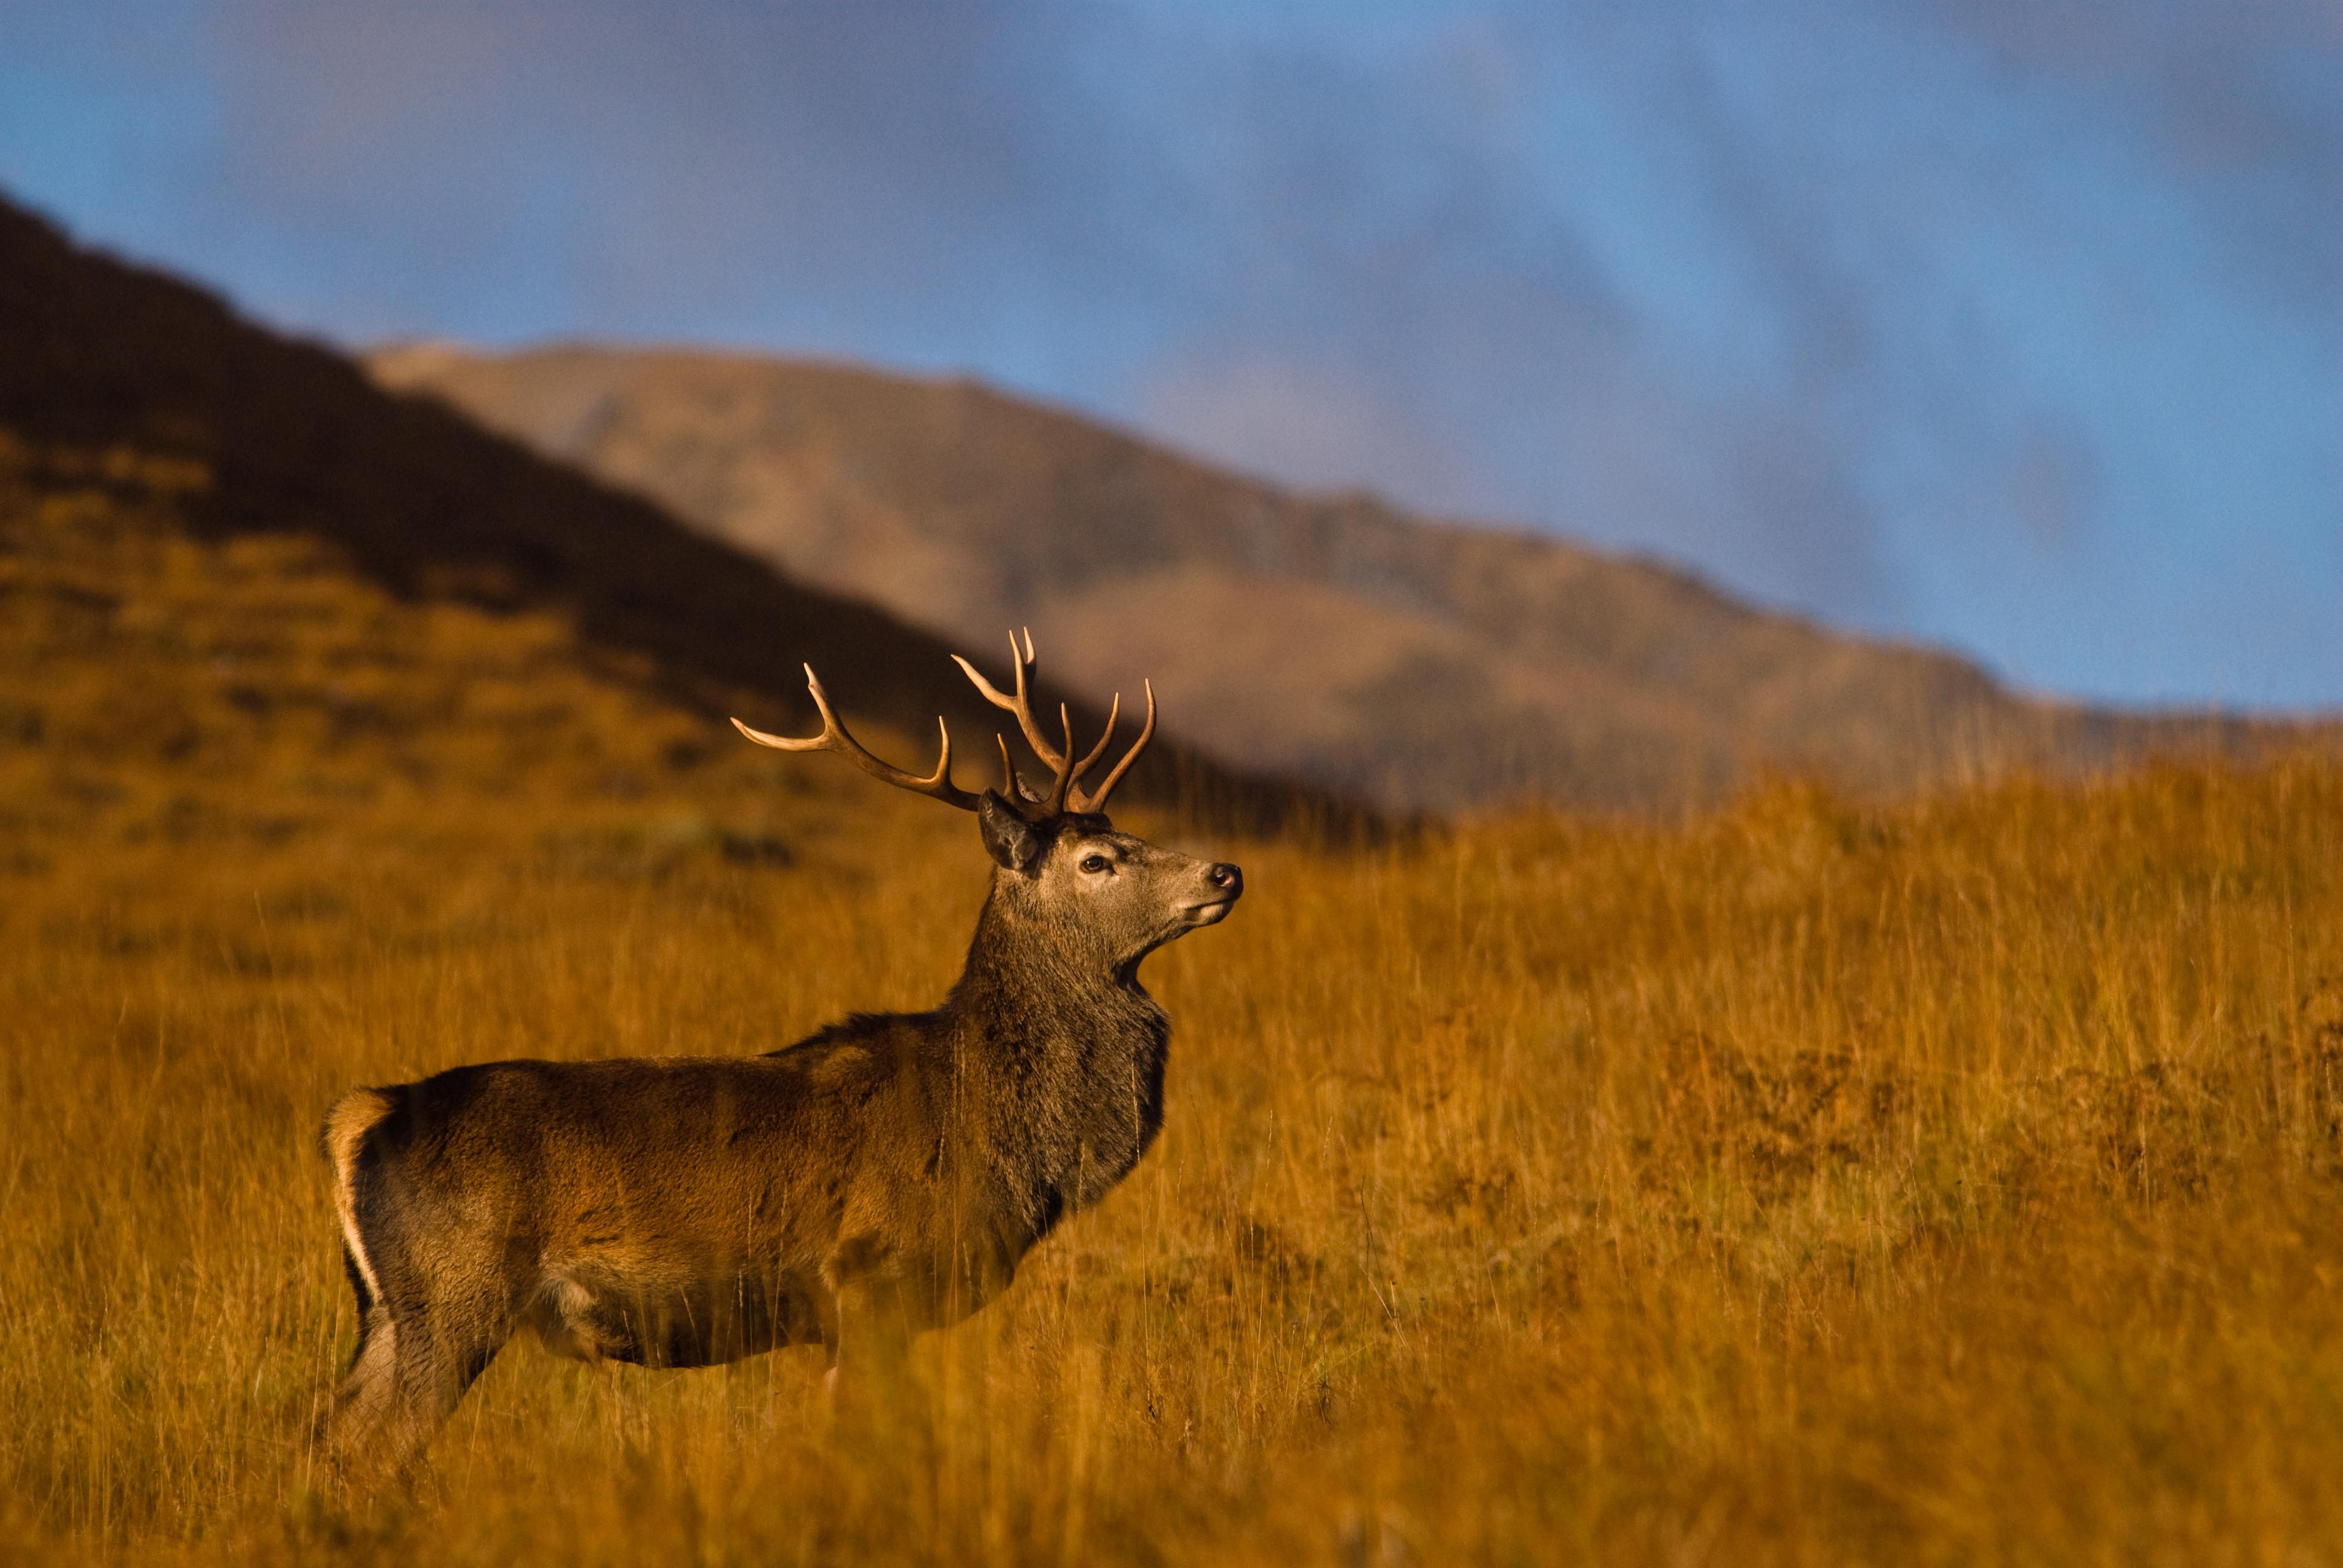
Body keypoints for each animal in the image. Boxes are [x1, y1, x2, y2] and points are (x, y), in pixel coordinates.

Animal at [315, 631, 1242, 1489]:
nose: (1225, 871)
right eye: (1097, 860)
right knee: (370, 1444)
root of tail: (363, 1117)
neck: (998, 1123)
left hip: (394, 1310)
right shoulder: (871, 1279)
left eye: (1126, 833)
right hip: (455, 1292)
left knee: (330, 1427)